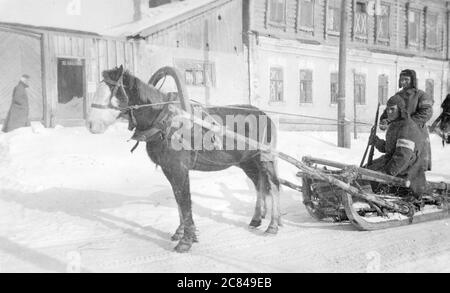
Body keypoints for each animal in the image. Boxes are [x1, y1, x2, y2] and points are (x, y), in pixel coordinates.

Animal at [87, 65, 282, 251]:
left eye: (113, 90)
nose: (91, 124)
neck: (164, 121)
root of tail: (264, 114)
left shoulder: (179, 168)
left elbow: (185, 200)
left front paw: (186, 240)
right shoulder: (169, 169)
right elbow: (178, 198)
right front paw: (181, 232)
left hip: (265, 159)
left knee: (273, 186)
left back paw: (273, 225)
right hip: (247, 163)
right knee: (259, 185)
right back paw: (256, 219)